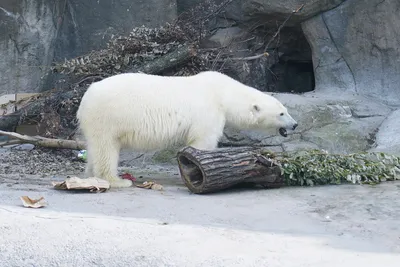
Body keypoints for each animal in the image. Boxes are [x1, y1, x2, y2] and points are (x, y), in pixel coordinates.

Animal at [76, 71, 298, 188]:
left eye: (286, 110)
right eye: (281, 113)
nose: (294, 124)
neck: (224, 93)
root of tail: (85, 98)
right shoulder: (209, 111)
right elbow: (203, 140)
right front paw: (200, 169)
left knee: (95, 147)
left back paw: (91, 175)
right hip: (108, 117)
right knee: (106, 148)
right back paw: (117, 180)